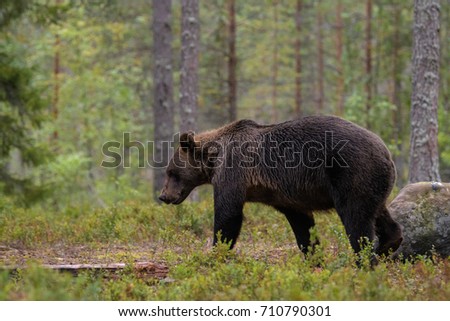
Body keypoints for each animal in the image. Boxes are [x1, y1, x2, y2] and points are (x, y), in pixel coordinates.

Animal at [160, 116, 402, 256]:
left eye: (171, 172)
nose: (163, 196)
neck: (213, 158)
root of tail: (385, 151)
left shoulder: (234, 172)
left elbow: (228, 213)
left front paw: (217, 249)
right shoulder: (285, 195)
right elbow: (302, 224)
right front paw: (313, 255)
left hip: (351, 174)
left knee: (356, 220)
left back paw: (365, 258)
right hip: (373, 183)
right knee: (379, 214)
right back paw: (387, 244)